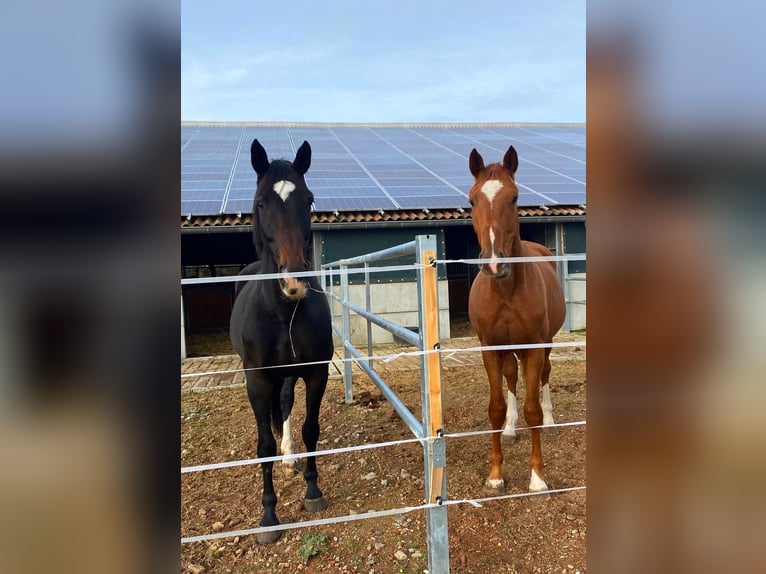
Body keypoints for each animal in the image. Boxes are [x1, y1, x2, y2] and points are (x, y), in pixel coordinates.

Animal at [229, 139, 333, 544]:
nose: (294, 282)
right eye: (261, 202)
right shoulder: (257, 380)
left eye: (308, 199)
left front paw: (313, 491)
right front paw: (268, 516)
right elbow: (263, 444)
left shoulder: (316, 372)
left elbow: (310, 429)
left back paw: (290, 457)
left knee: (286, 403)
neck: (283, 310)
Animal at [467, 145, 566, 495]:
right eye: (472, 200)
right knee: (511, 377)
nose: (495, 264)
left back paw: (550, 423)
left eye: (514, 197)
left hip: (545, 344)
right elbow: (495, 407)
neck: (506, 289)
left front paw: (537, 477)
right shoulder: (489, 348)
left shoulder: (534, 346)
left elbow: (532, 408)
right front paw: (495, 474)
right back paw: (511, 428)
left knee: (545, 376)